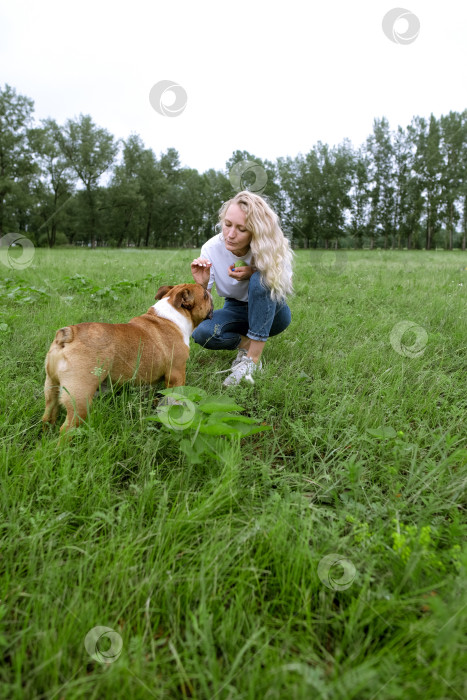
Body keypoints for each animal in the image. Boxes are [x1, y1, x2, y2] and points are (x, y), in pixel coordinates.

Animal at [42, 284, 214, 432]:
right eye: (205, 295)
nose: (210, 292)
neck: (172, 316)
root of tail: (69, 334)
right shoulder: (176, 374)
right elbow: (175, 398)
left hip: (51, 386)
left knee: (49, 411)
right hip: (80, 396)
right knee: (67, 428)